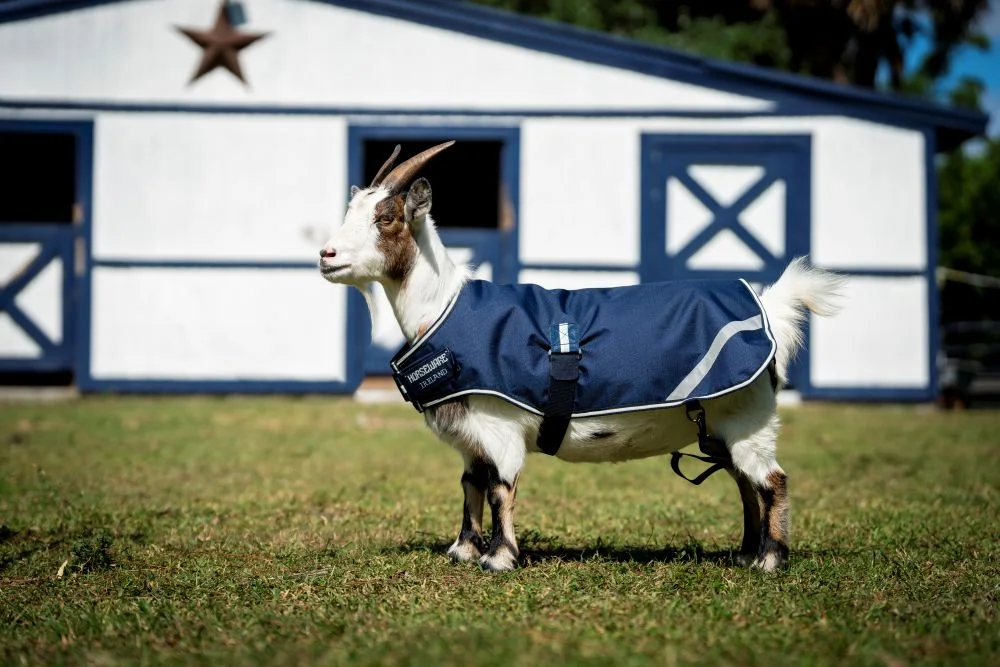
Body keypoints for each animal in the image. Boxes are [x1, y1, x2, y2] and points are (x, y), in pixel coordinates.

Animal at [320, 141, 844, 572]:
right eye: (351, 211)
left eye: (386, 219)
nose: (327, 255)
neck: (443, 308)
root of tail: (769, 308)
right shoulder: (471, 436)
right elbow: (471, 484)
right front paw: (463, 550)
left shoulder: (499, 426)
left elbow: (499, 487)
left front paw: (499, 559)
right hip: (724, 426)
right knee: (744, 483)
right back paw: (744, 553)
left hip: (749, 418)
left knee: (771, 481)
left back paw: (770, 561)